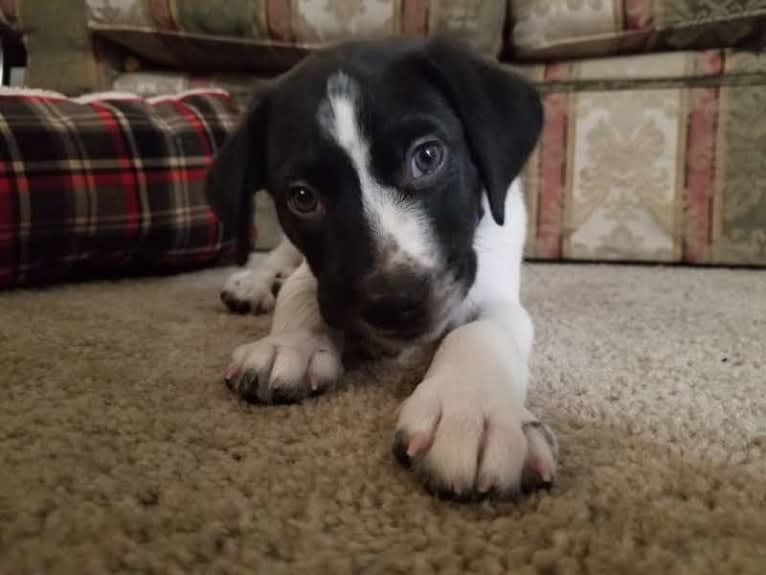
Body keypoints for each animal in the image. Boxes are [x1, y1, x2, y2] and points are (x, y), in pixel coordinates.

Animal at [207, 37, 560, 500]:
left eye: (427, 156)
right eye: (302, 197)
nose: (393, 303)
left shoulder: (492, 286)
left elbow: (481, 330)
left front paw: (471, 409)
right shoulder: (323, 276)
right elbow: (301, 293)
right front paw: (287, 345)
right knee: (280, 255)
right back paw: (255, 281)